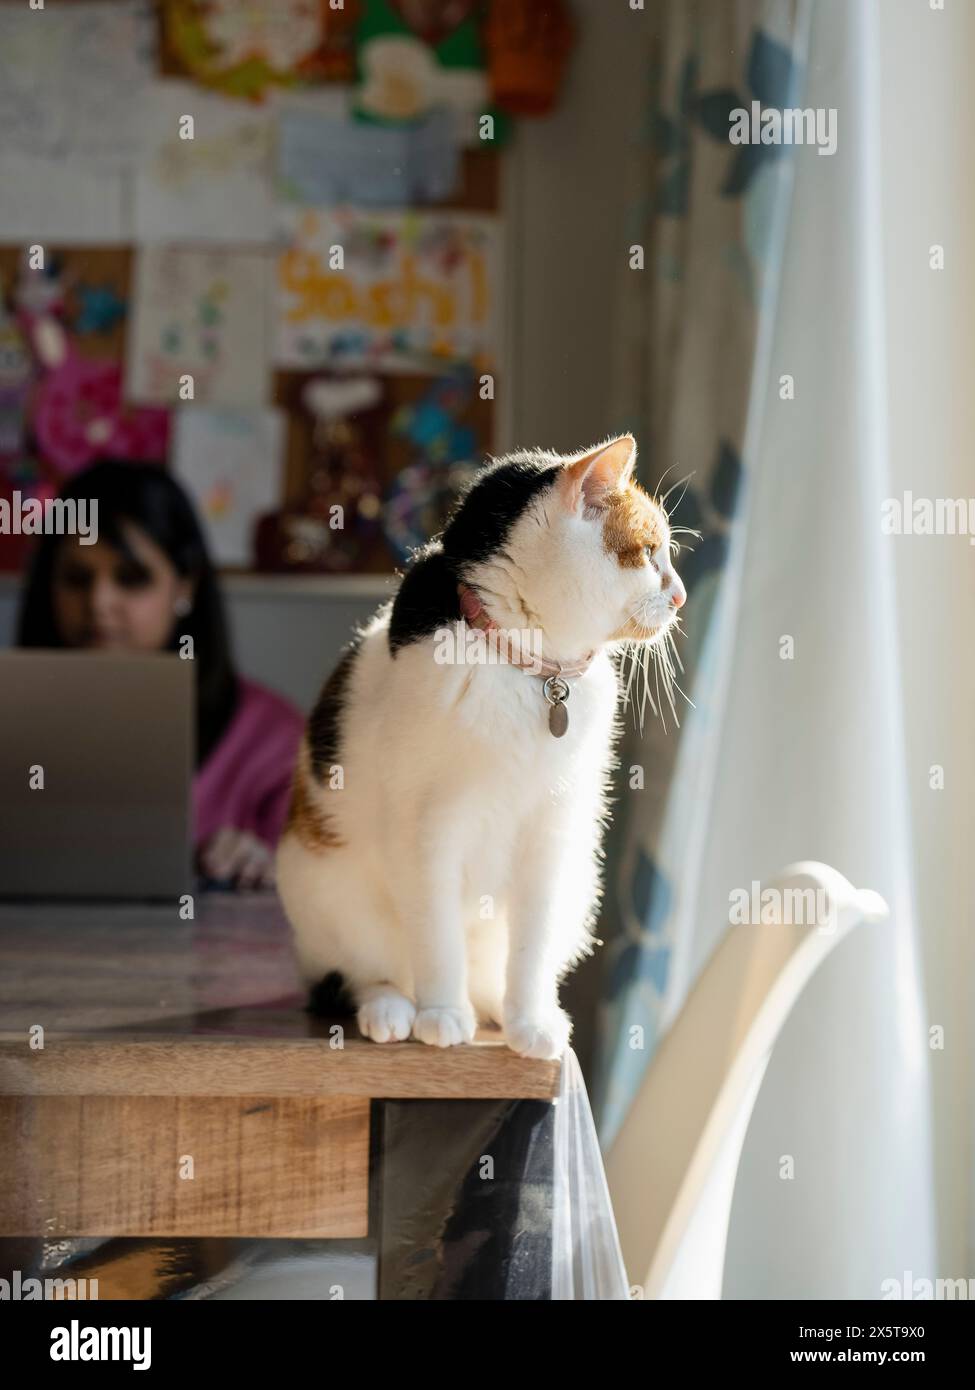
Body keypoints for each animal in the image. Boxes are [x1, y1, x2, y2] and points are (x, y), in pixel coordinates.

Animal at [274, 433, 684, 1050]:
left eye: (667, 553)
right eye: (649, 552)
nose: (680, 596)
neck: (528, 670)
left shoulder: (552, 831)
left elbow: (530, 949)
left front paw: (529, 1022)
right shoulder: (427, 831)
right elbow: (438, 938)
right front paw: (443, 1013)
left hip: (578, 883)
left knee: (495, 964)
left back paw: (502, 1007)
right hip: (323, 887)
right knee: (365, 970)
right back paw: (394, 1008)